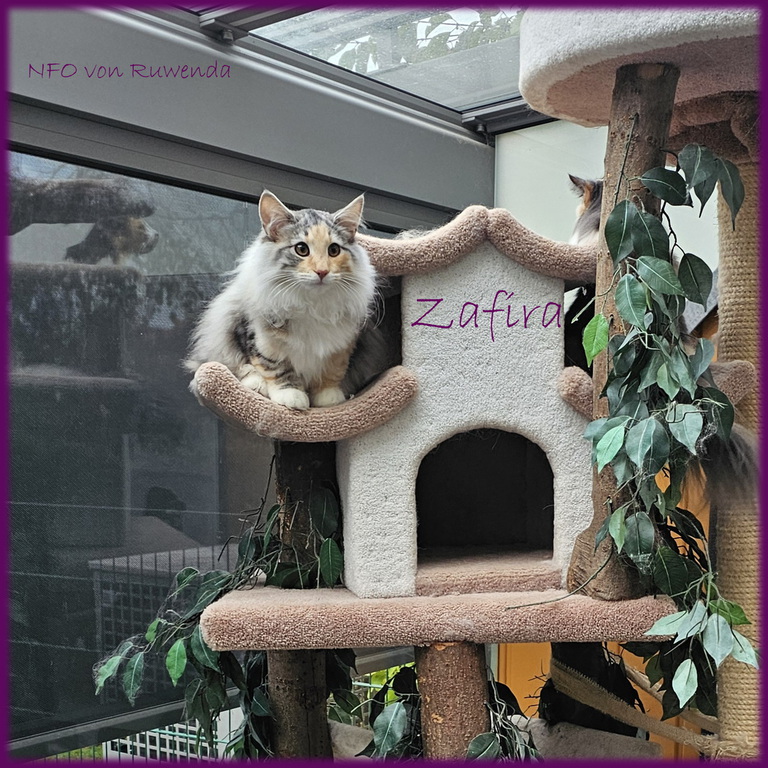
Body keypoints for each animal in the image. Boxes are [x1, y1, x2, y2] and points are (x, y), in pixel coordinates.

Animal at [185, 190, 385, 410]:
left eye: (334, 250)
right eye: (301, 249)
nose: (322, 271)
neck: (311, 305)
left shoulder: (343, 345)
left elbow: (333, 372)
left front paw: (328, 399)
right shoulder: (260, 339)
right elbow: (277, 369)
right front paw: (292, 397)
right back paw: (257, 386)